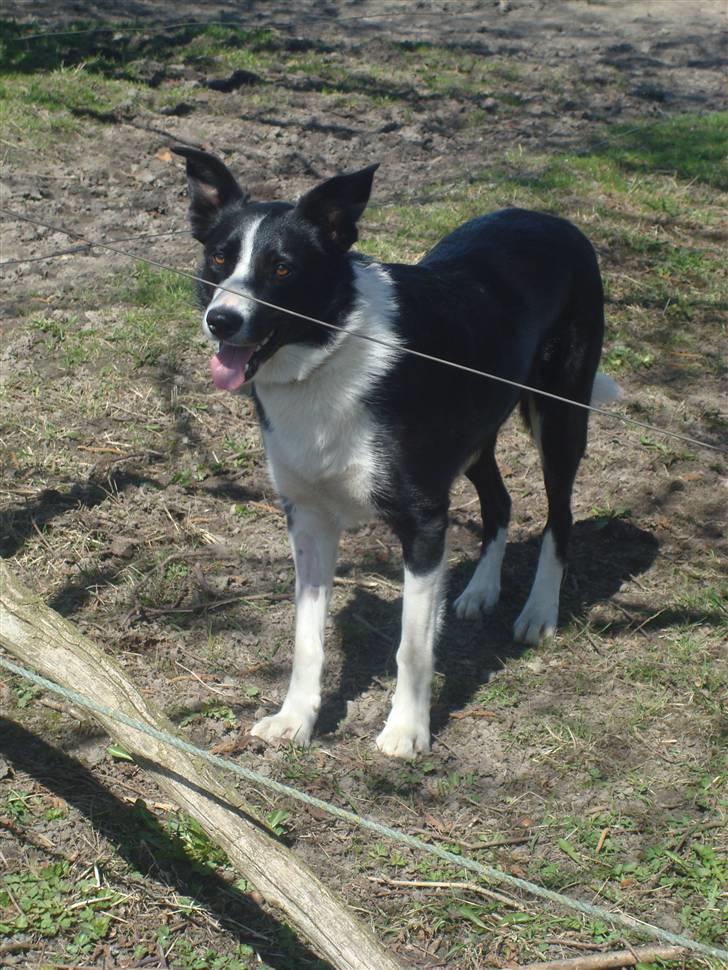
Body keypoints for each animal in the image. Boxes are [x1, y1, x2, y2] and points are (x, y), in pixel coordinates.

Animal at [172, 147, 620, 760]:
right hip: (473, 436)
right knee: (499, 501)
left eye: (282, 268)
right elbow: (306, 637)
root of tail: (552, 219)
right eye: (220, 257)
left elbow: (412, 645)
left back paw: (538, 612)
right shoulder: (308, 519)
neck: (330, 355)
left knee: (560, 514)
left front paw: (406, 731)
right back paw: (480, 591)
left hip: (559, 416)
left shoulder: (424, 521)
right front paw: (296, 719)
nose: (222, 319)